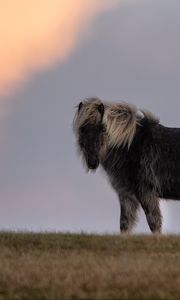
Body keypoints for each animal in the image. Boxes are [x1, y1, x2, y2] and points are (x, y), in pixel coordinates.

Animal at [73, 97, 180, 233]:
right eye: (82, 129)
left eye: (102, 129)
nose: (92, 161)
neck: (131, 146)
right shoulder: (126, 194)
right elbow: (124, 223)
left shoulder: (146, 192)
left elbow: (154, 222)